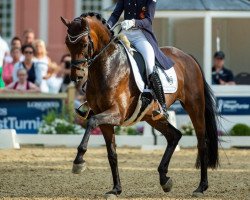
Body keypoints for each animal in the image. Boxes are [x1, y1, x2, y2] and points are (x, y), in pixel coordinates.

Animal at [61, 12, 219, 198]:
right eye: (67, 43)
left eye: (85, 44)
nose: (76, 76)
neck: (108, 65)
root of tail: (188, 57)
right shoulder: (105, 119)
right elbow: (112, 153)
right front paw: (116, 189)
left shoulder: (117, 113)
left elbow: (91, 122)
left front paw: (79, 161)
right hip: (152, 116)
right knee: (174, 136)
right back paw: (165, 179)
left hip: (194, 106)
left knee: (202, 142)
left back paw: (201, 187)